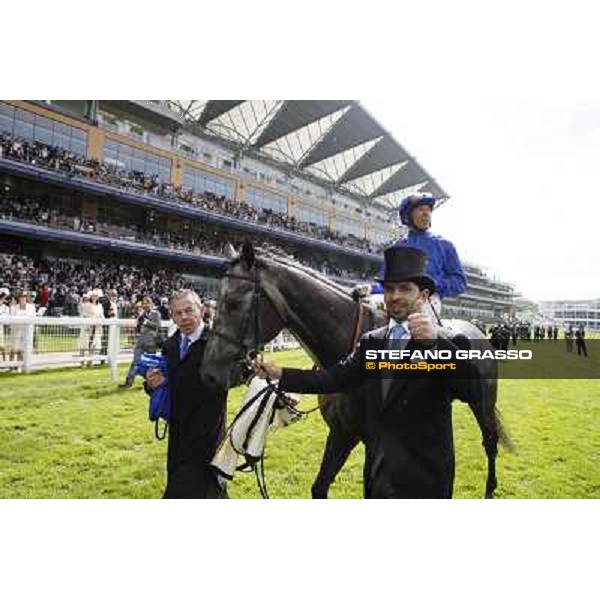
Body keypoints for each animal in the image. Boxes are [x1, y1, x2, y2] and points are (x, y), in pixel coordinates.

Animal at [202, 241, 510, 500]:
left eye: (232, 304)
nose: (209, 375)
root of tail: (477, 329)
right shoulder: (340, 432)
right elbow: (319, 487)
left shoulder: (363, 438)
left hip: (482, 402)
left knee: (490, 442)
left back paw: (489, 488)